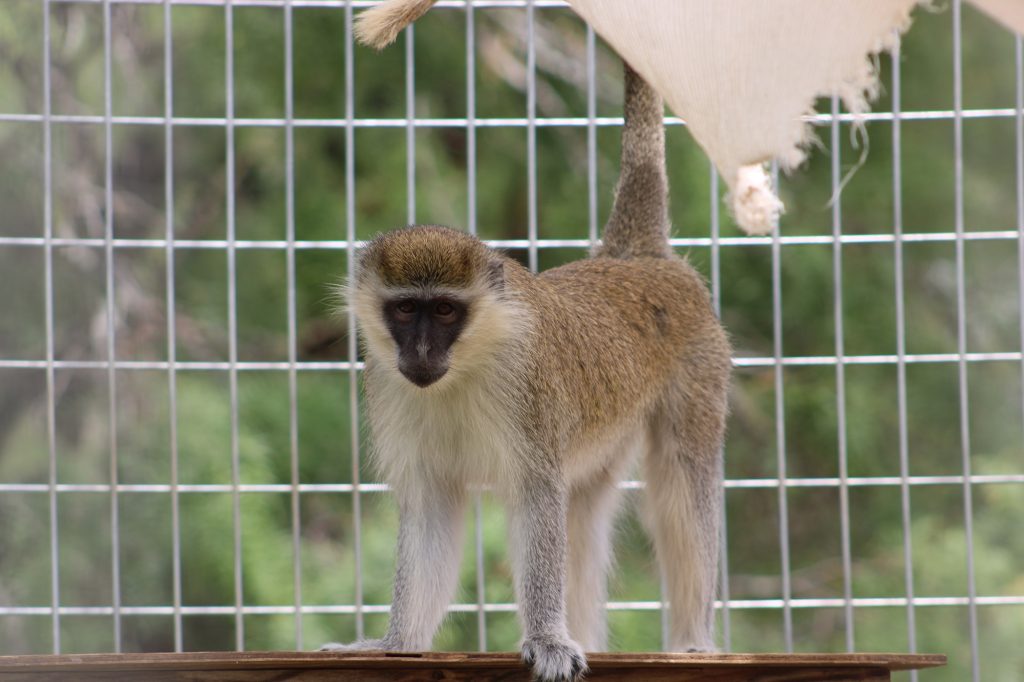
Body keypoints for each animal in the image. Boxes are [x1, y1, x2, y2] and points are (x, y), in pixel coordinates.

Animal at [323, 7, 733, 675]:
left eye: (445, 311)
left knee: (683, 485)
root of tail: (633, 259)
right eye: (406, 309)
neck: (466, 367)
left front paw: (545, 638)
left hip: (700, 370)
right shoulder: (389, 386)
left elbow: (538, 502)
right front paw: (393, 643)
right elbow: (434, 513)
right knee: (585, 510)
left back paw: (694, 639)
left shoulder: (529, 398)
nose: (421, 353)